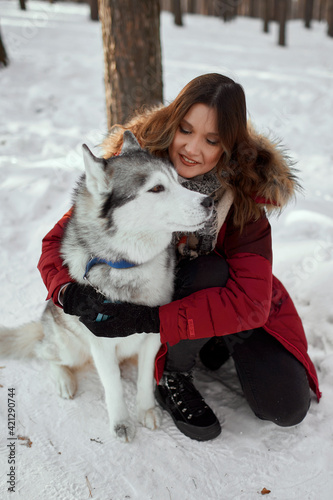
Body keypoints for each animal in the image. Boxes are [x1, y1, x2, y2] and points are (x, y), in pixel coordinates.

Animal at [0, 132, 213, 442]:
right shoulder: (100, 343)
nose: (209, 202)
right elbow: (112, 386)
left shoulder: (153, 335)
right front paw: (121, 422)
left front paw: (146, 409)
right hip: (70, 347)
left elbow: (145, 379)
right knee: (45, 353)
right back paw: (63, 379)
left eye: (178, 181)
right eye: (157, 188)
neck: (128, 266)